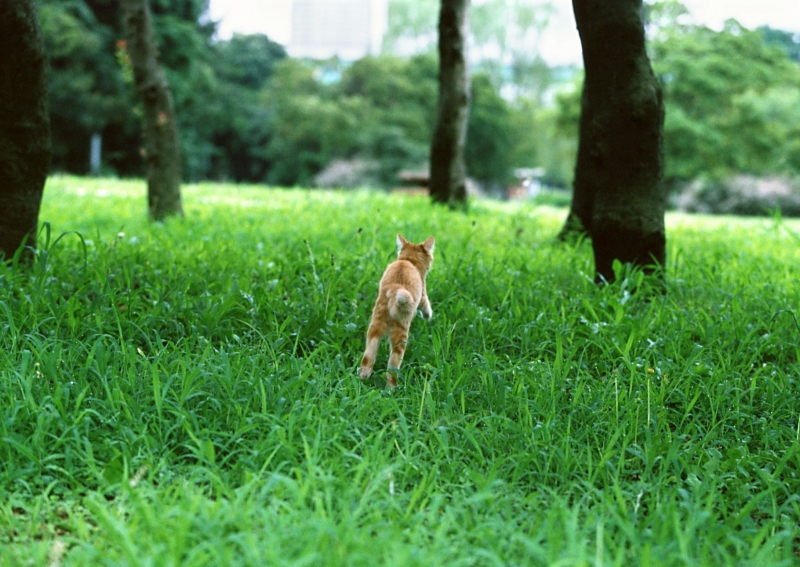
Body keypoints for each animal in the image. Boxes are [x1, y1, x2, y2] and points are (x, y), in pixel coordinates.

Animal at [360, 233, 434, 388]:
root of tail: (394, 291)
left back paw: (363, 377)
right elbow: (426, 305)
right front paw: (428, 316)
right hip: (401, 335)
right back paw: (392, 389)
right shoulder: (422, 294)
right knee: (392, 368)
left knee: (367, 358)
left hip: (374, 328)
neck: (407, 261)